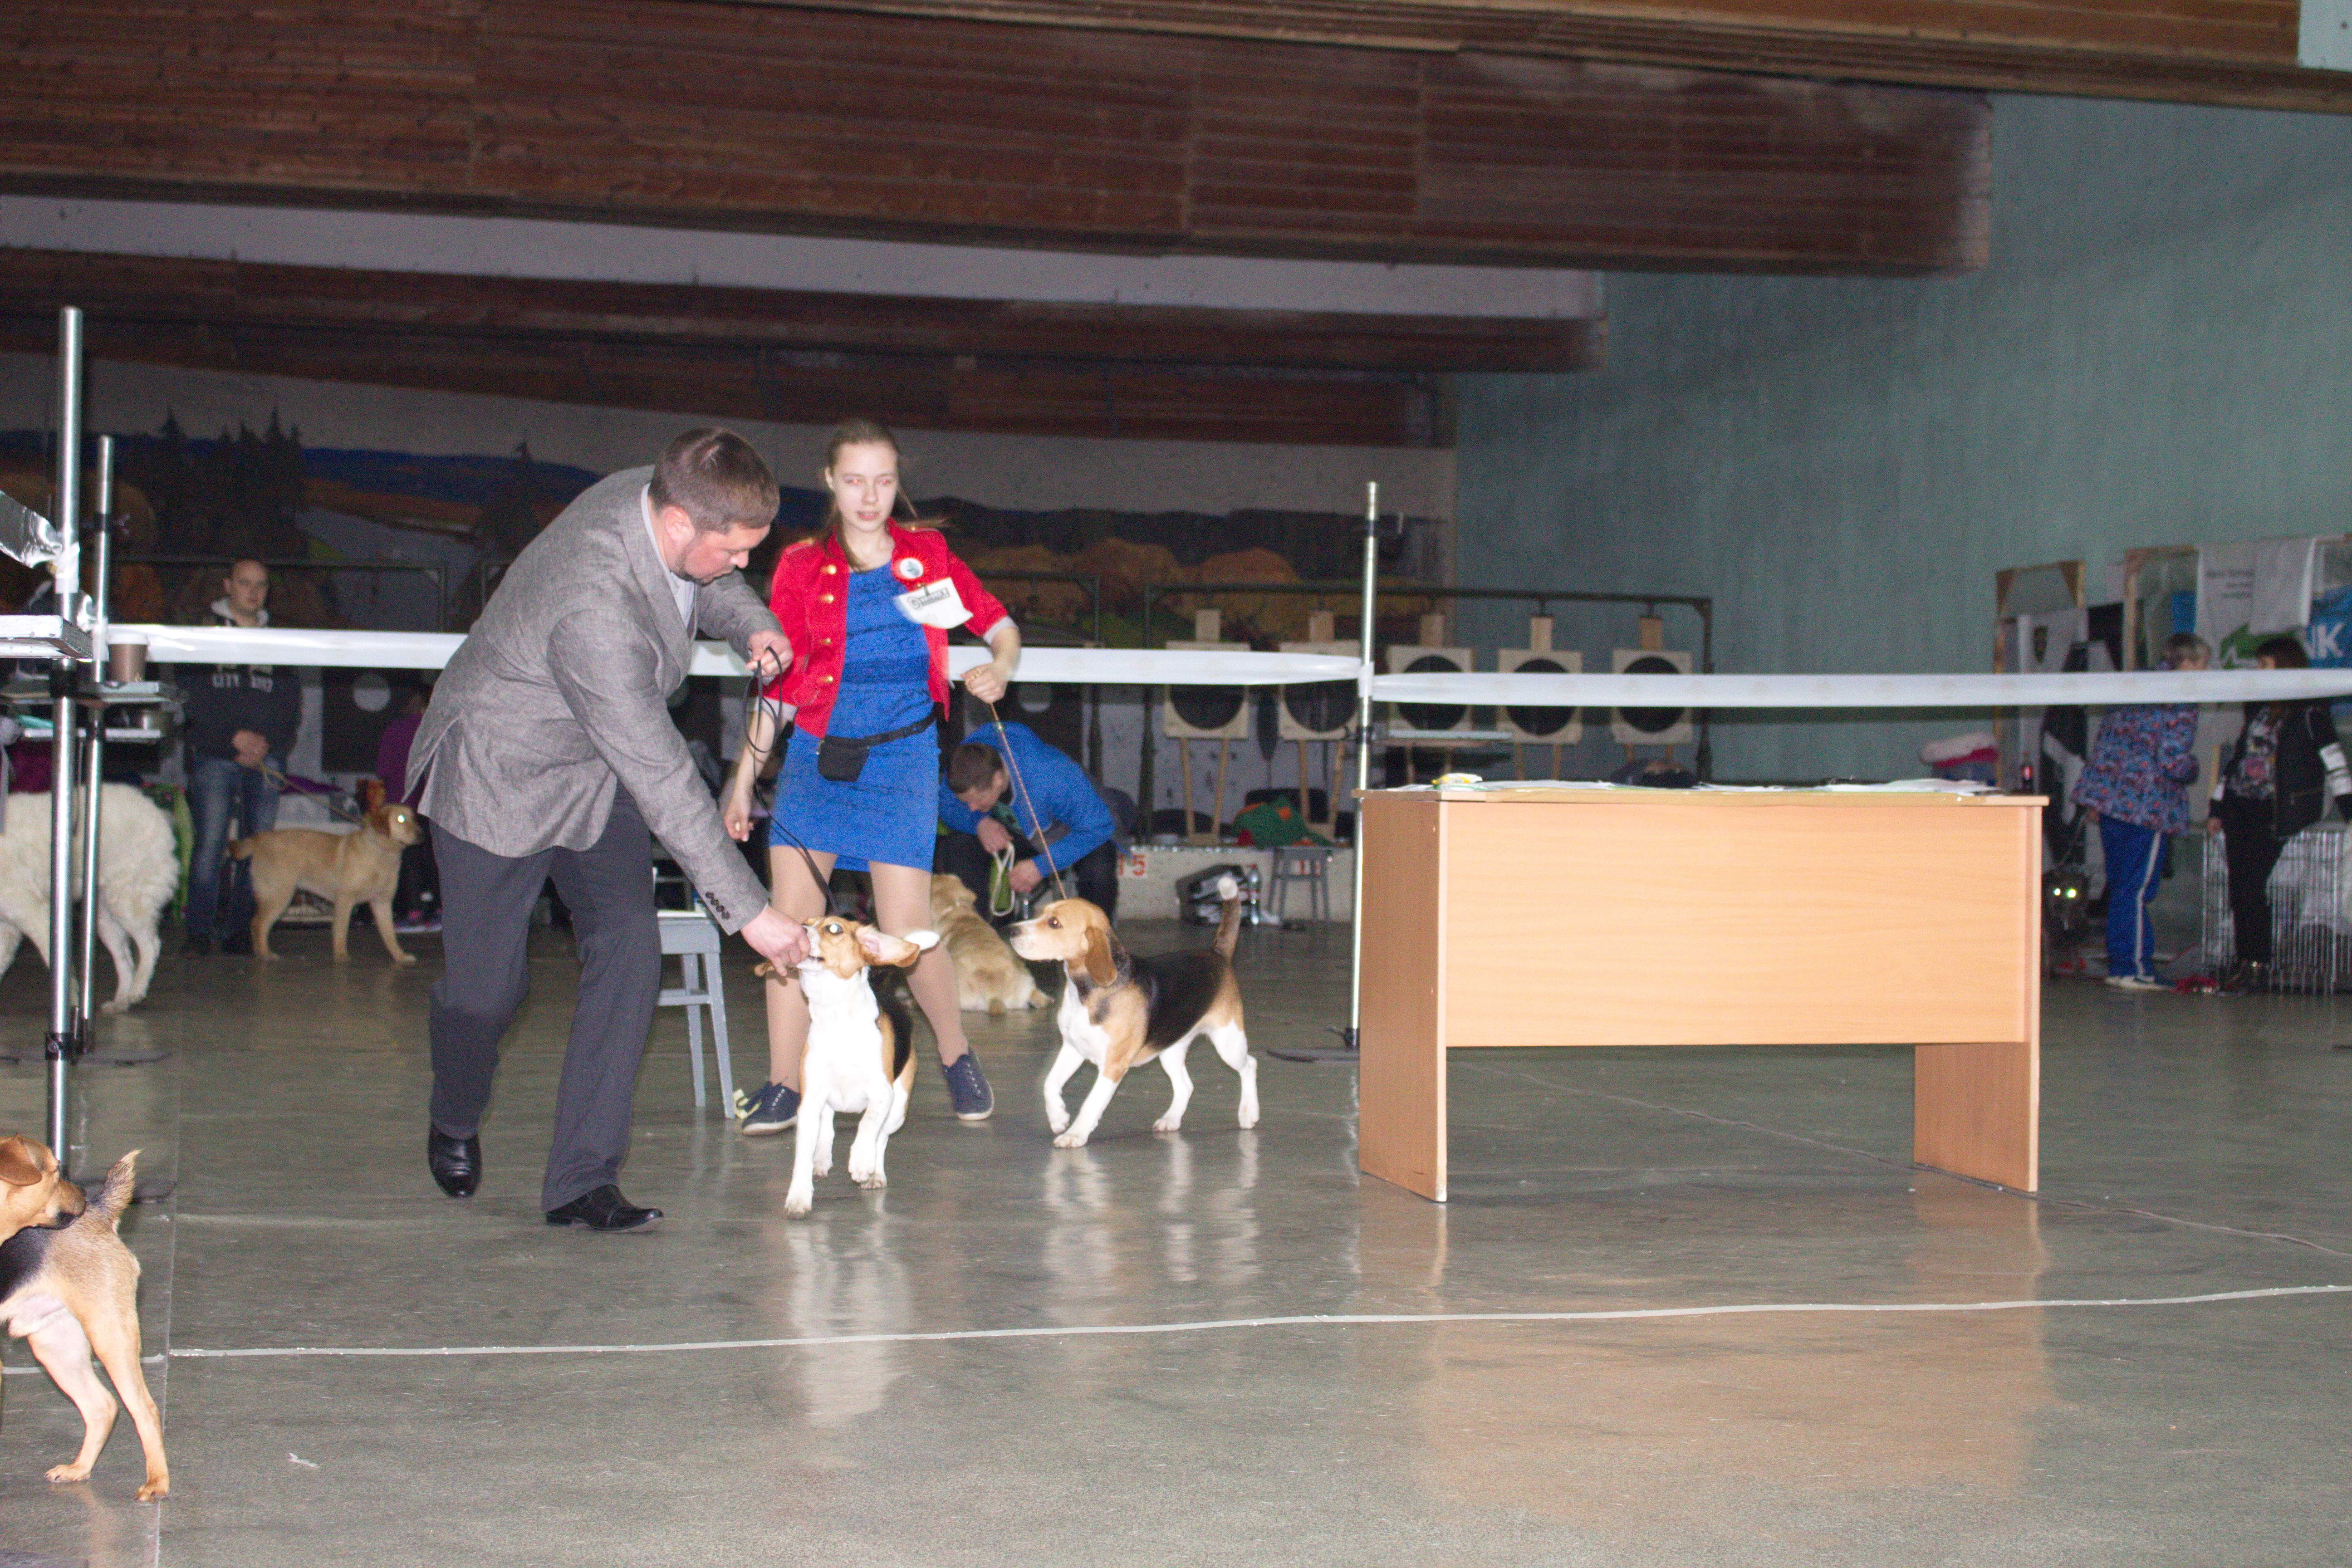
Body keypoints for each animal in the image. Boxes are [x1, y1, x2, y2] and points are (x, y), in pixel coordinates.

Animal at [0, 784, 178, 1013]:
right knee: (125, 961)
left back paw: (137, 990)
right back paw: (121, 1001)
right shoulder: (7, 925)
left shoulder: (34, 913)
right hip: (104, 918)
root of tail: (155, 810)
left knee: (151, 945)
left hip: (127, 902)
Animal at [0, 1136, 169, 1500]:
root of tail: (98, 1209)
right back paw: (79, 1469)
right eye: (55, 1173)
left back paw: (157, 1482)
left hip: (110, 1336)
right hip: (56, 1348)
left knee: (144, 1410)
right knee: (101, 1406)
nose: (78, 1191)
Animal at [232, 803, 423, 963]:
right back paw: (265, 954)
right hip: (279, 896)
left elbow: (390, 935)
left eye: (414, 818)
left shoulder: (382, 902)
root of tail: (260, 839)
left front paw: (400, 956)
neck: (381, 851)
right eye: (401, 819)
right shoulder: (345, 900)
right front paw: (341, 955)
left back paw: (259, 952)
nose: (421, 835)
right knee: (259, 924)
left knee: (254, 923)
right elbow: (341, 930)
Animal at [769, 917, 939, 1217]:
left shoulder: (882, 1095)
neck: (835, 1017)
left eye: (834, 929)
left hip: (898, 1111)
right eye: (804, 922)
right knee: (827, 1126)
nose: (797, 930)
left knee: (881, 1139)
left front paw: (861, 1162)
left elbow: (868, 1126)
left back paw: (874, 1174)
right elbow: (803, 1155)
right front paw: (799, 1197)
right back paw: (822, 1159)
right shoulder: (810, 1101)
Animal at [1010, 875, 1258, 1149]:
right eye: (1042, 913)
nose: (1012, 930)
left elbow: (1091, 1104)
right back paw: (1171, 1120)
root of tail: (1217, 954)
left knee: (1250, 1066)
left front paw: (1075, 1134)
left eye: (1055, 923)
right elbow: (1050, 1083)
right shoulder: (1073, 1048)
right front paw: (1059, 1118)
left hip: (1228, 1042)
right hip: (1170, 1049)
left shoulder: (1113, 1065)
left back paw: (1249, 1113)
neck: (1087, 992)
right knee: (1186, 1086)